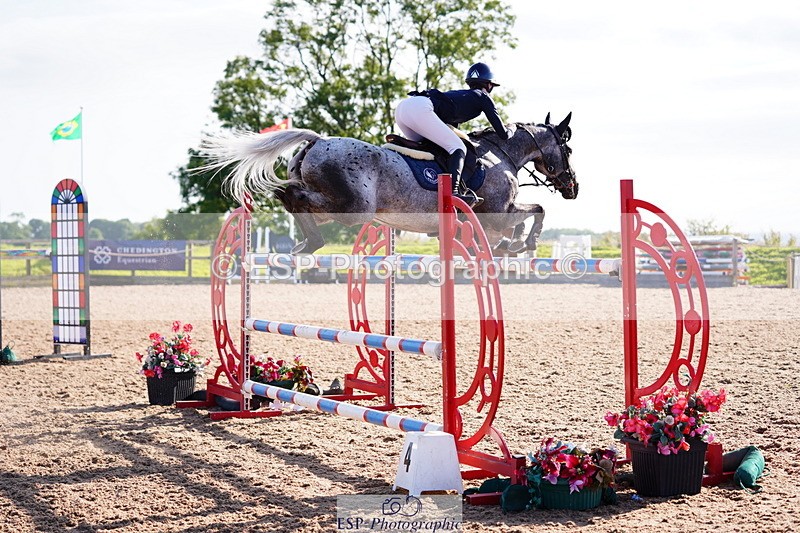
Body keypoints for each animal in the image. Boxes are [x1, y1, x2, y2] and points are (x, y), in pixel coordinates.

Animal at [201, 113, 577, 254]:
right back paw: (311, 240)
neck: (502, 155)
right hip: (355, 208)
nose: (573, 187)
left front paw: (511, 246)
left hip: (335, 207)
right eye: (568, 148)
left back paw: (307, 244)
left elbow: (524, 219)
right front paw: (525, 243)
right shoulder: (499, 213)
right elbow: (537, 210)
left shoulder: (496, 218)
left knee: (297, 201)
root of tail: (318, 141)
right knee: (295, 195)